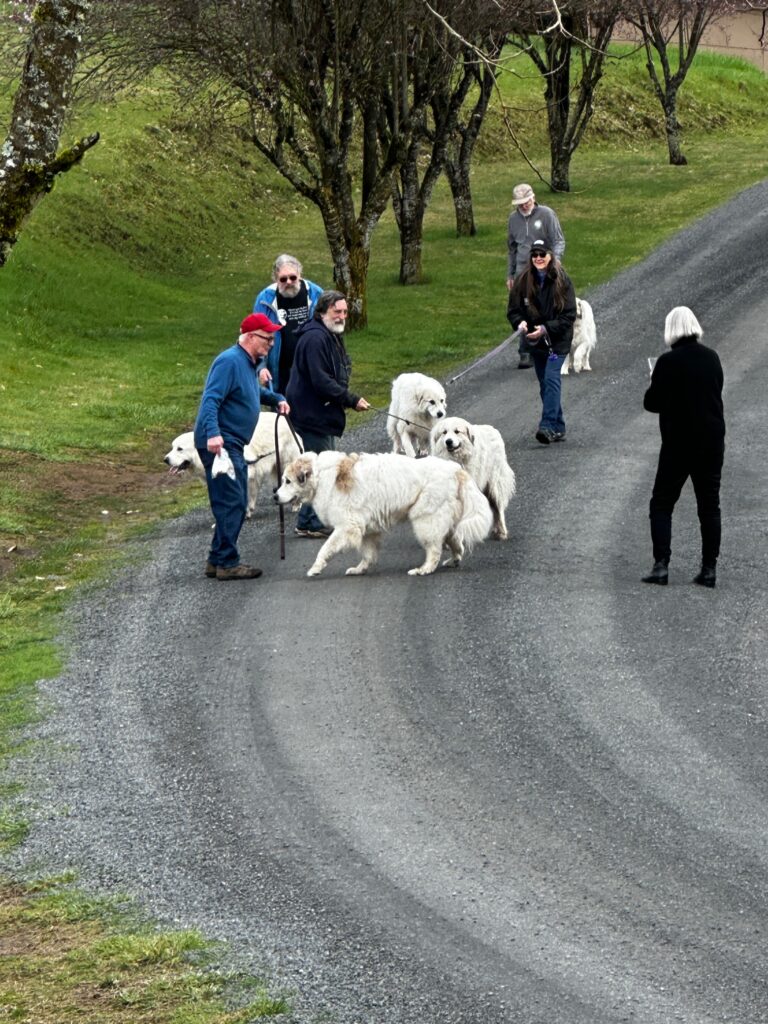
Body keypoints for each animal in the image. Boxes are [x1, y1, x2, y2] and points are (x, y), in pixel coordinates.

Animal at [164, 411, 302, 517]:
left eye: (180, 449)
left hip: (286, 463)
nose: (165, 460)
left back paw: (296, 504)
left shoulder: (245, 473)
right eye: (172, 447)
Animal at [274, 450, 492, 577]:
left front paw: (315, 568)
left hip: (425, 519)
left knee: (435, 549)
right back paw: (453, 561)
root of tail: (456, 470)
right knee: (456, 543)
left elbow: (325, 549)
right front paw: (360, 569)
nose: (275, 496)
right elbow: (368, 553)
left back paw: (424, 569)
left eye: (287, 481)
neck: (320, 476)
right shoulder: (367, 530)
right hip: (445, 520)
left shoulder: (347, 527)